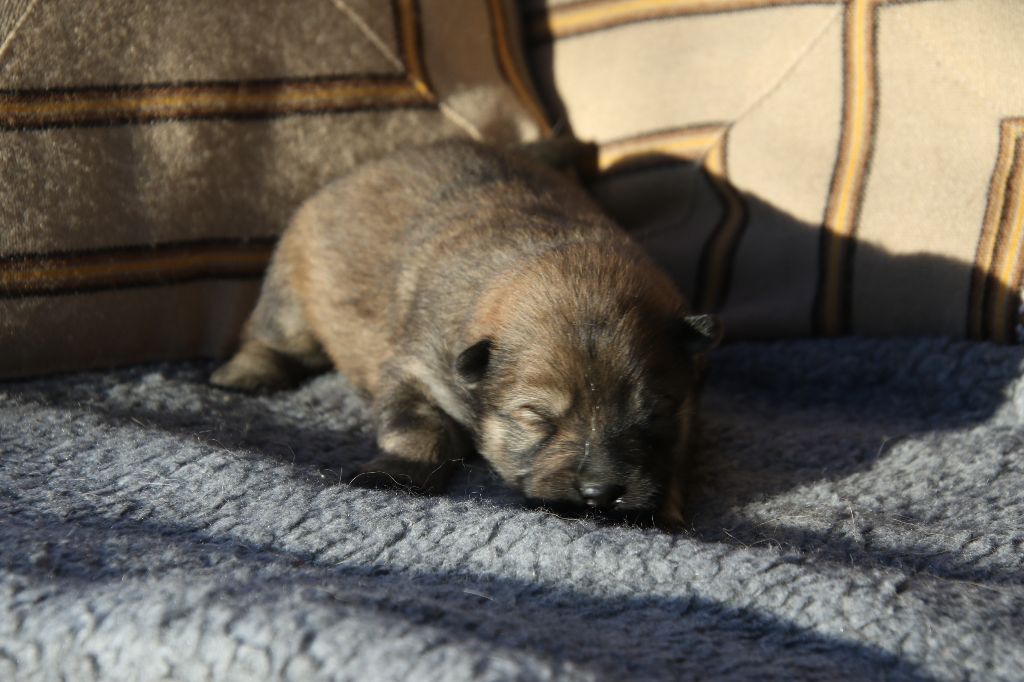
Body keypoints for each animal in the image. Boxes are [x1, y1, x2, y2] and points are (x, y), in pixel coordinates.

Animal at [211, 139, 721, 526]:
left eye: (655, 412)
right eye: (537, 417)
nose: (600, 492)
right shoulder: (417, 372)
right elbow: (417, 426)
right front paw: (396, 473)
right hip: (291, 297)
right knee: (273, 340)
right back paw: (244, 375)